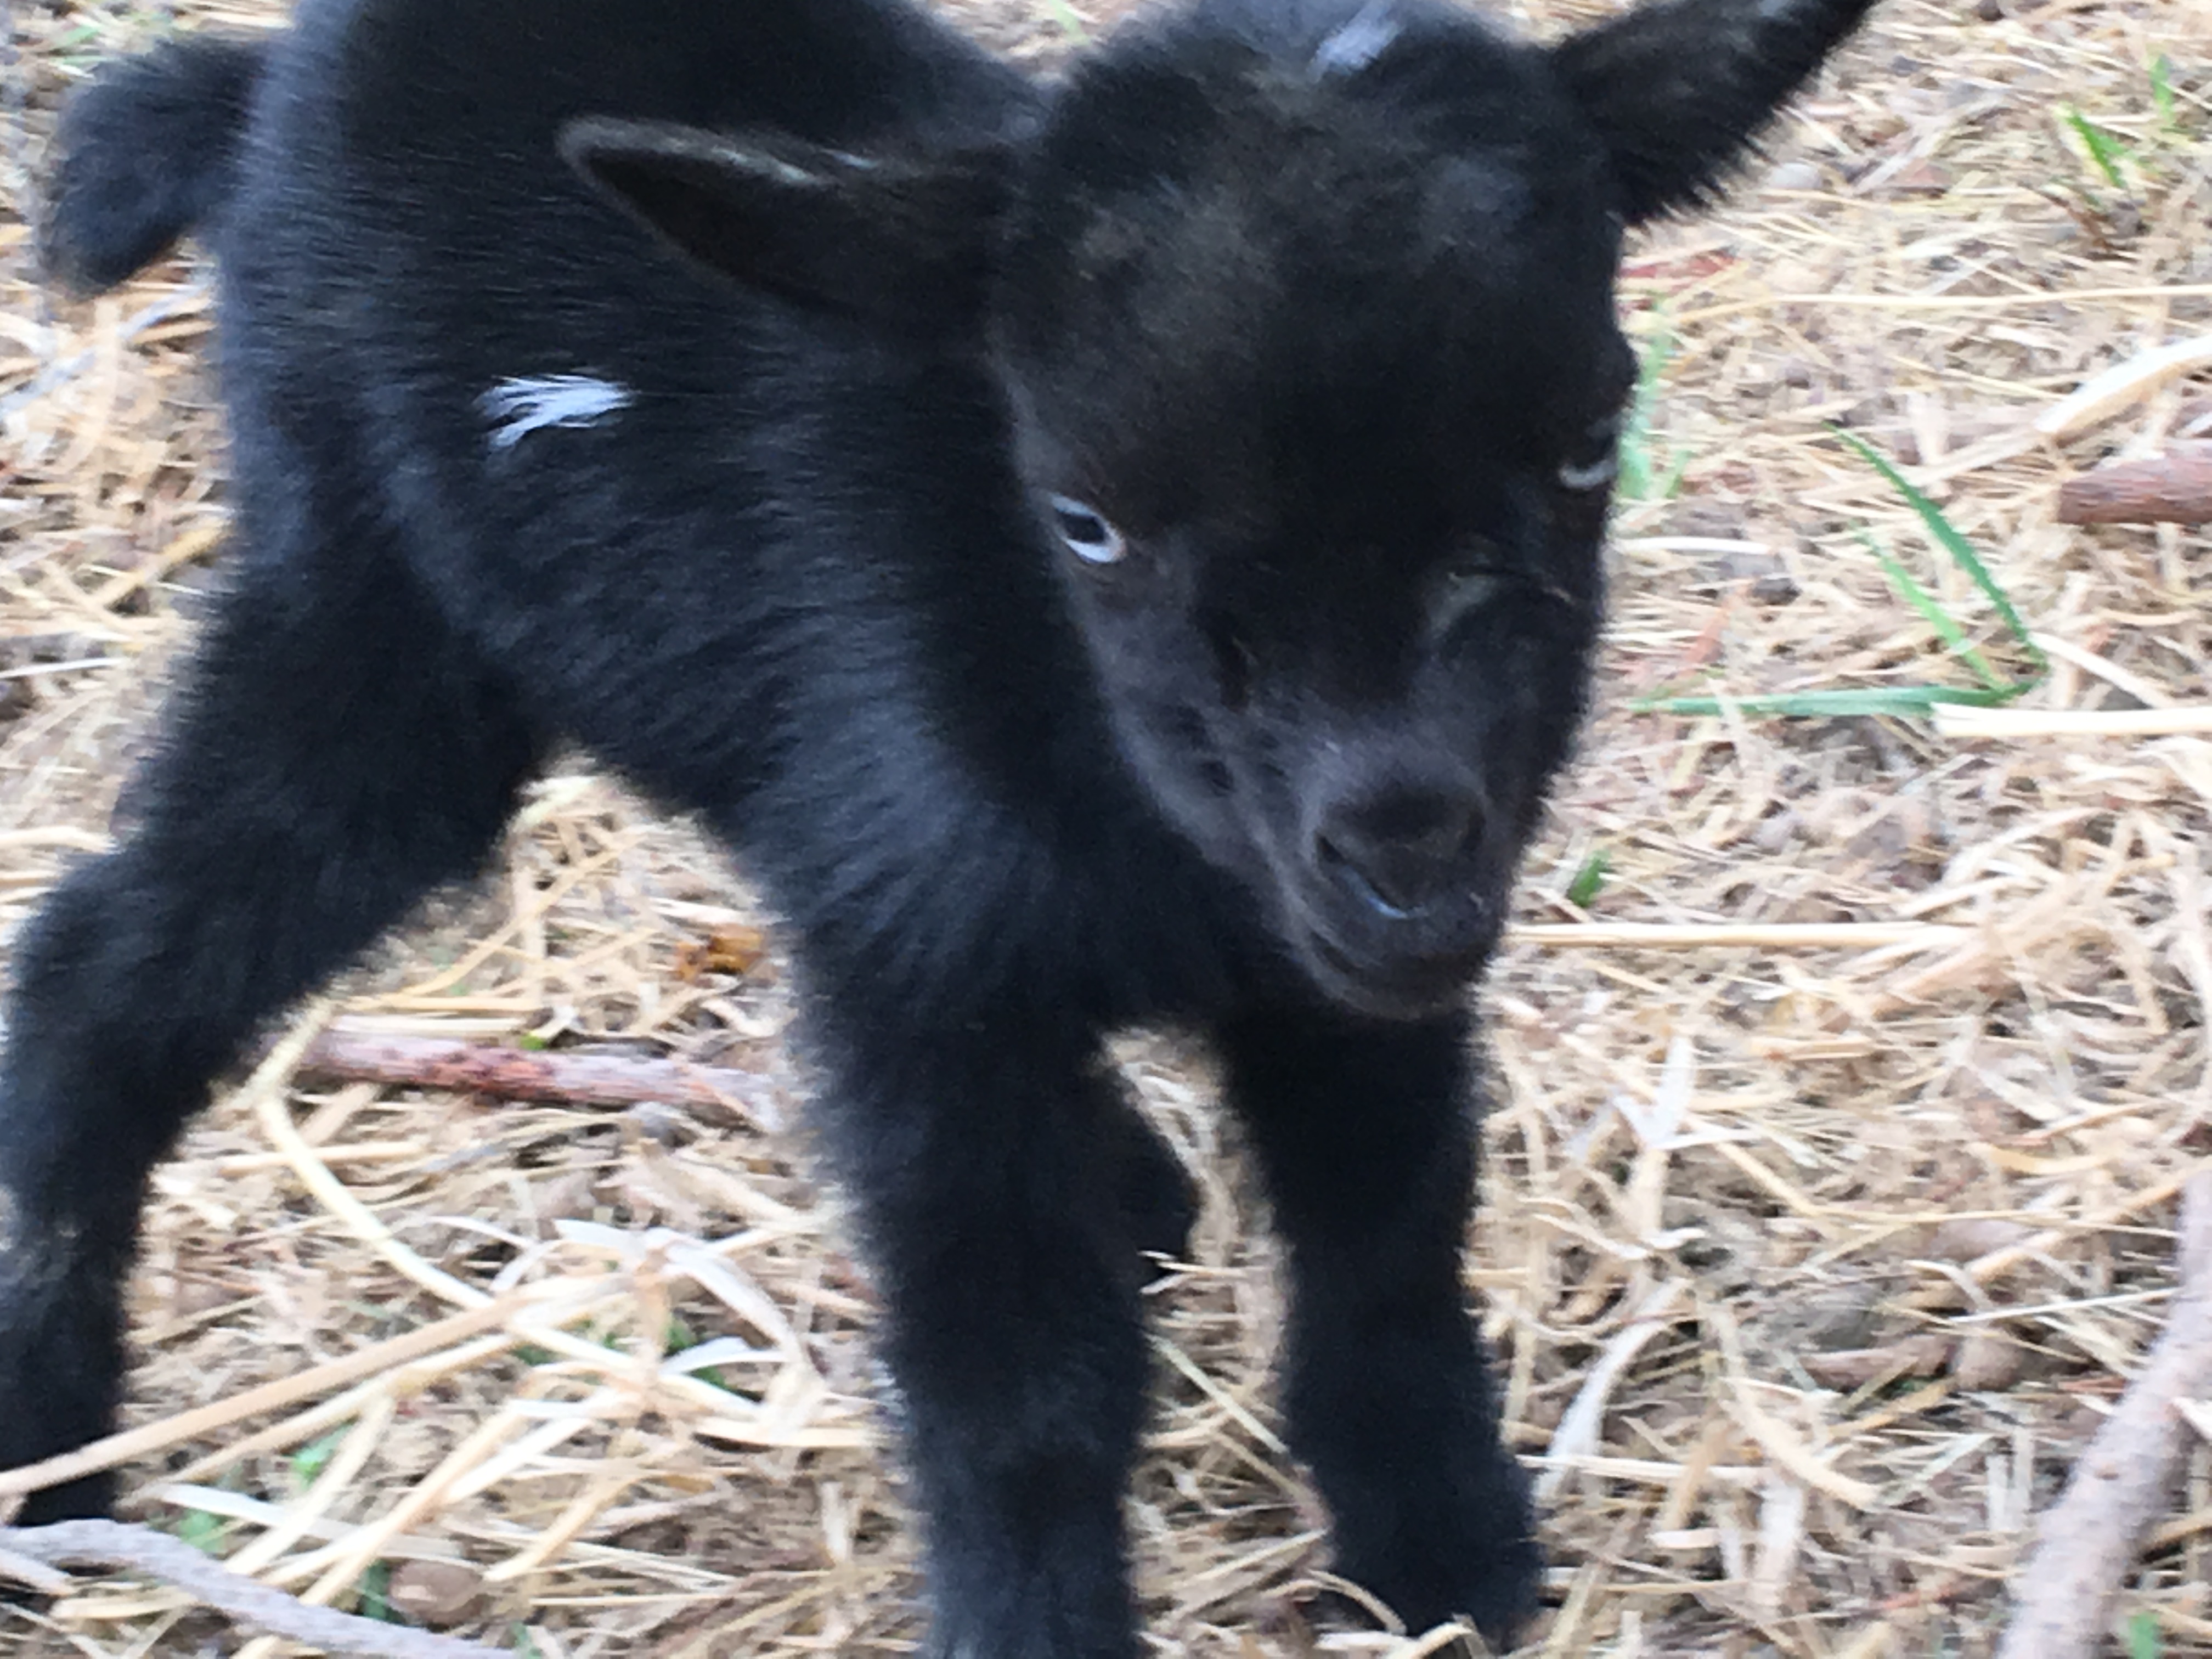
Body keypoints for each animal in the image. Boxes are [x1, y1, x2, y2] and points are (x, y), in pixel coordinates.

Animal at [5, 0, 1875, 1649]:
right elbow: (1020, 1392)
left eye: (1590, 442)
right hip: (372, 608)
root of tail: (277, 83)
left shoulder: (1327, 984)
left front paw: (1444, 1555)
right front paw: (1042, 1625)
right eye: (1086, 518)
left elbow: (1388, 1242)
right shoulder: (935, 989)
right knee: (114, 952)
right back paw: (51, 1433)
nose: (1404, 852)